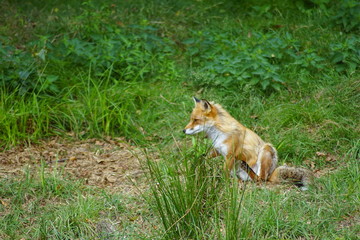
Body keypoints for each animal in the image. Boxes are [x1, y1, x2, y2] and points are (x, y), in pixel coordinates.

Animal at [183, 97, 312, 189]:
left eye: (196, 120)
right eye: (191, 119)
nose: (183, 130)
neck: (219, 133)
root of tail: (271, 174)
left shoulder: (230, 155)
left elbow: (225, 172)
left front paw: (224, 184)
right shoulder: (218, 149)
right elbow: (204, 156)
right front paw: (196, 161)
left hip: (267, 149)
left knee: (260, 179)